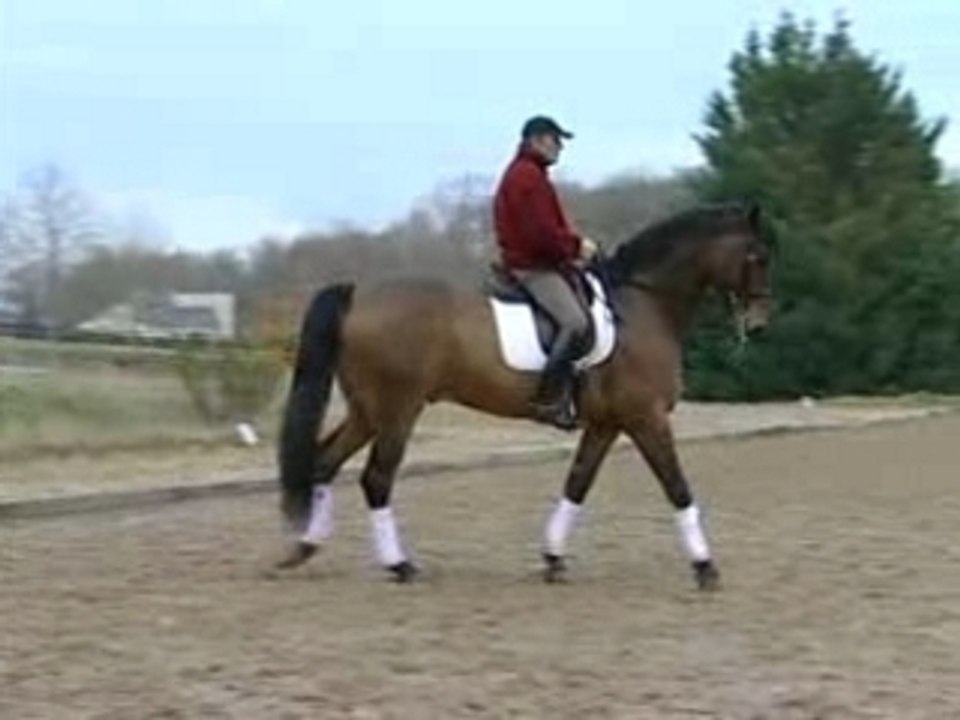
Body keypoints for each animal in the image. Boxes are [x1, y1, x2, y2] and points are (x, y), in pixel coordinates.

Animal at [273, 202, 775, 590]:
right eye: (758, 257)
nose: (758, 326)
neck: (643, 304)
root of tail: (358, 295)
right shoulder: (645, 418)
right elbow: (677, 486)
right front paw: (705, 567)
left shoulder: (606, 423)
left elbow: (577, 483)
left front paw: (553, 558)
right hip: (398, 409)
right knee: (376, 479)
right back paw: (399, 565)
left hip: (367, 410)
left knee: (324, 461)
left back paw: (304, 547)